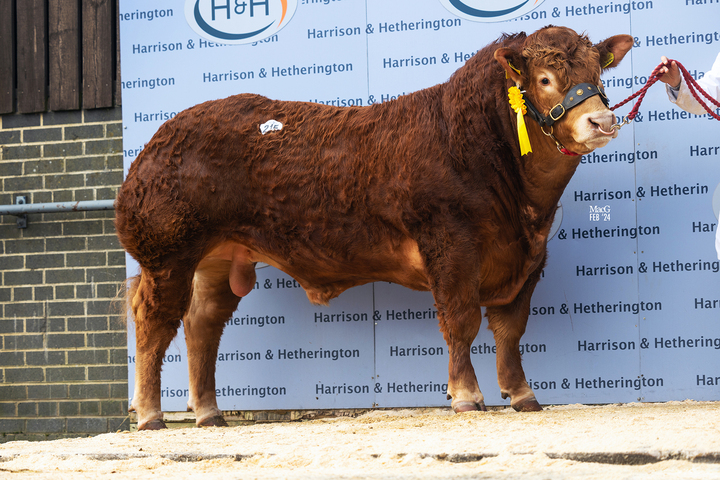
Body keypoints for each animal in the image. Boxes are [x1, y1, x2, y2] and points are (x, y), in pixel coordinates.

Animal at [115, 26, 632, 430]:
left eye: (598, 73)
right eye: (544, 79)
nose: (602, 119)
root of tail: (160, 139)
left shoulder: (530, 256)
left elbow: (510, 329)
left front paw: (523, 394)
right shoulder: (450, 244)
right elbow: (461, 320)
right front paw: (467, 396)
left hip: (217, 259)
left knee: (202, 323)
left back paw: (209, 413)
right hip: (168, 254)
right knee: (154, 322)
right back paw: (151, 415)